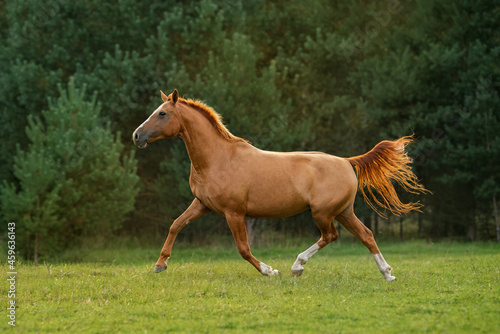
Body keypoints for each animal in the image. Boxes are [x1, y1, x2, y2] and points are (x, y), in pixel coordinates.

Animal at [134, 88, 430, 280]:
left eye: (162, 114)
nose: (137, 135)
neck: (218, 159)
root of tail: (347, 161)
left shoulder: (234, 212)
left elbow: (243, 249)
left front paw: (270, 271)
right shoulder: (202, 204)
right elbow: (176, 225)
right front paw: (160, 265)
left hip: (323, 213)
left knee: (331, 236)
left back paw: (297, 266)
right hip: (344, 212)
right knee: (366, 235)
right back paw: (387, 274)